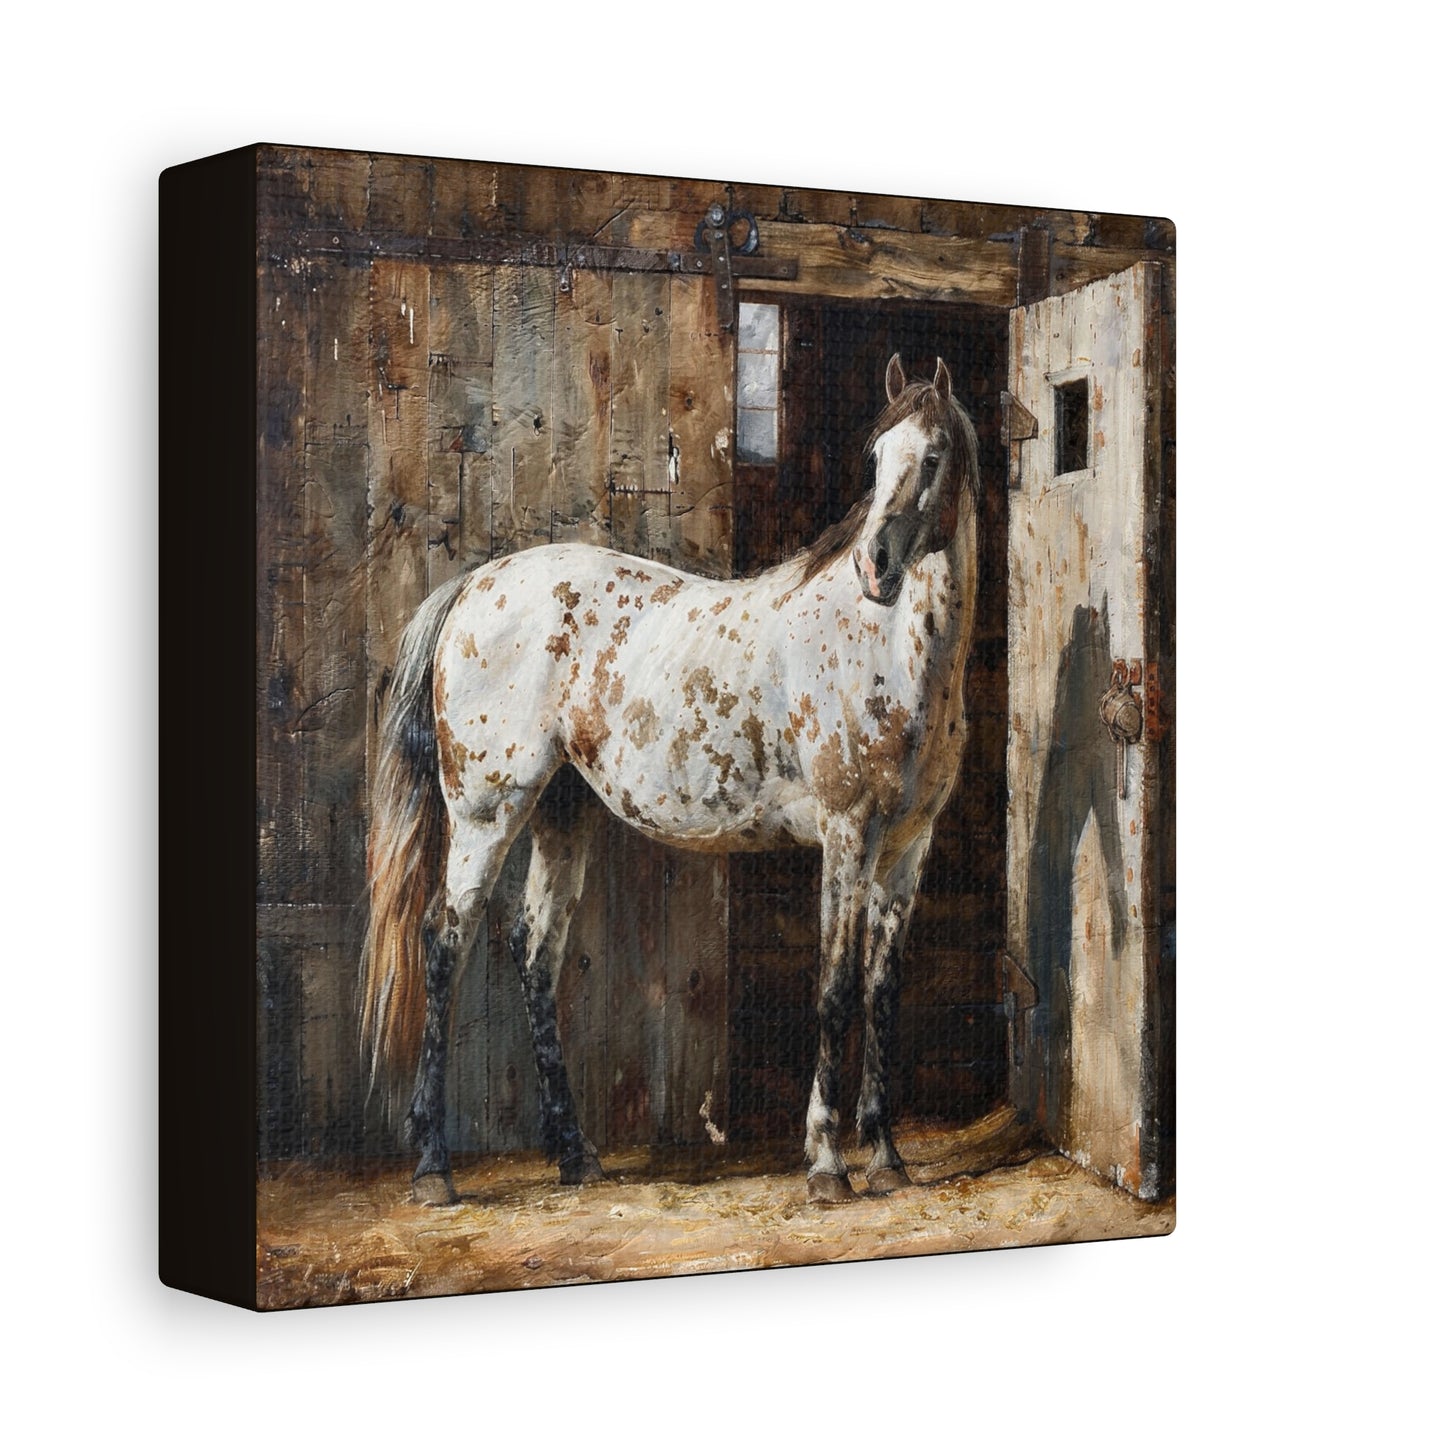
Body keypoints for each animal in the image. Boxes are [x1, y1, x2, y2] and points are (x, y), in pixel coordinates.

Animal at [360, 353, 980, 1205]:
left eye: (934, 457)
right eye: (876, 456)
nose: (874, 568)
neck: (886, 649)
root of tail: (474, 586)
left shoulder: (907, 847)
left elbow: (882, 989)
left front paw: (886, 1156)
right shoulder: (846, 833)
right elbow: (835, 986)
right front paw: (826, 1164)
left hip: (562, 813)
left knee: (535, 952)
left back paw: (575, 1155)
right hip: (488, 811)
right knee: (444, 940)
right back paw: (432, 1169)